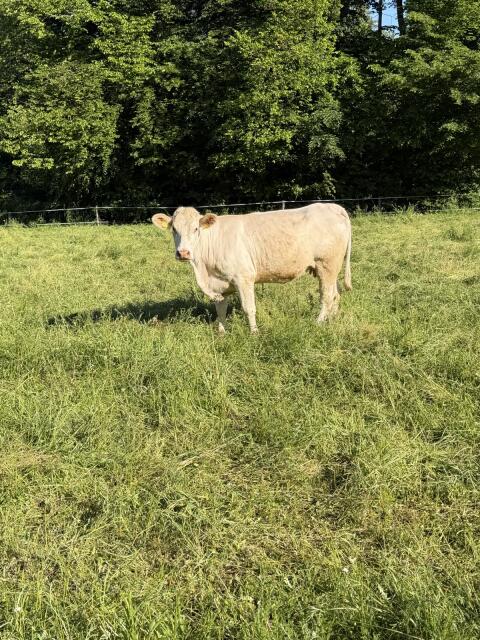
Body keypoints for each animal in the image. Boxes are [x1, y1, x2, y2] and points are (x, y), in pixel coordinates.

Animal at [152, 203, 352, 333]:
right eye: (174, 229)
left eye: (196, 229)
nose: (183, 252)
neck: (204, 269)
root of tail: (333, 206)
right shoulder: (220, 284)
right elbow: (220, 309)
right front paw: (222, 332)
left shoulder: (244, 278)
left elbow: (249, 308)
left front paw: (254, 333)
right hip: (330, 269)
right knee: (335, 295)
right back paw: (332, 321)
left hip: (327, 265)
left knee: (327, 296)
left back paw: (318, 322)